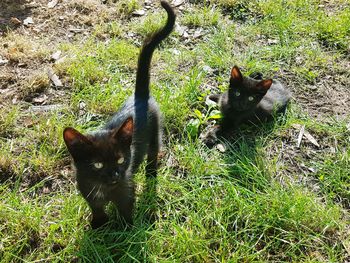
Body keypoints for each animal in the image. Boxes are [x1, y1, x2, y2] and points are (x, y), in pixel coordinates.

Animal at [62, 1, 175, 229]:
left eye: (121, 159)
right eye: (97, 164)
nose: (114, 174)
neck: (105, 189)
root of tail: (140, 96)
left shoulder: (126, 187)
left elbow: (125, 208)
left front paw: (124, 230)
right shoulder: (88, 191)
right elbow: (96, 207)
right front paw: (98, 224)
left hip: (155, 133)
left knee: (153, 152)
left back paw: (151, 173)